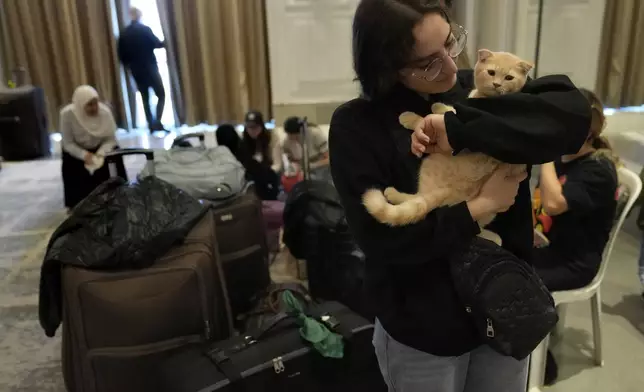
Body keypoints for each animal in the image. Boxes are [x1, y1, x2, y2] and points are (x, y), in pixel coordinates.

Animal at [362, 49, 532, 245]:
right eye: (491, 72)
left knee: (420, 200)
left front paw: (419, 115)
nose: (497, 84)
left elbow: (437, 116)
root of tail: (455, 191)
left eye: (509, 77)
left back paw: (393, 194)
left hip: (430, 164)